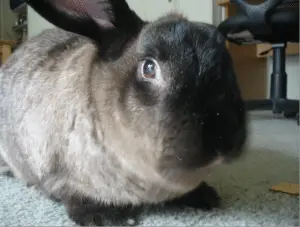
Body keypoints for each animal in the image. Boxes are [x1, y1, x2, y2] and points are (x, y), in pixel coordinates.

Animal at [0, 0, 247, 226]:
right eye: (149, 68)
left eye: (227, 62)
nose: (224, 140)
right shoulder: (58, 177)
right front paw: (106, 218)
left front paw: (206, 196)